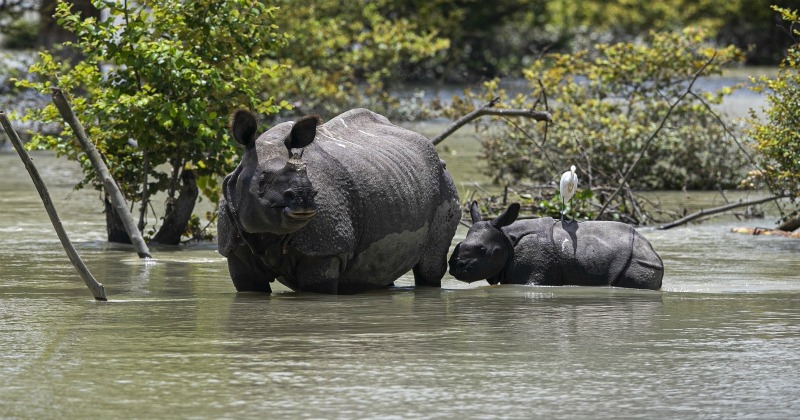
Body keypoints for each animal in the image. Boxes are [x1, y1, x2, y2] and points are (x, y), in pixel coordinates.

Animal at [217, 106, 462, 294]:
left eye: (307, 174)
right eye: (262, 180)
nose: (304, 196)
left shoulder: (325, 250)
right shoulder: (234, 251)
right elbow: (249, 286)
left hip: (443, 182)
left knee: (429, 268)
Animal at [450, 203, 664, 288]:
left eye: (483, 250)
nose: (454, 267)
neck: (505, 237)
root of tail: (651, 250)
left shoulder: (533, 273)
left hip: (637, 262)